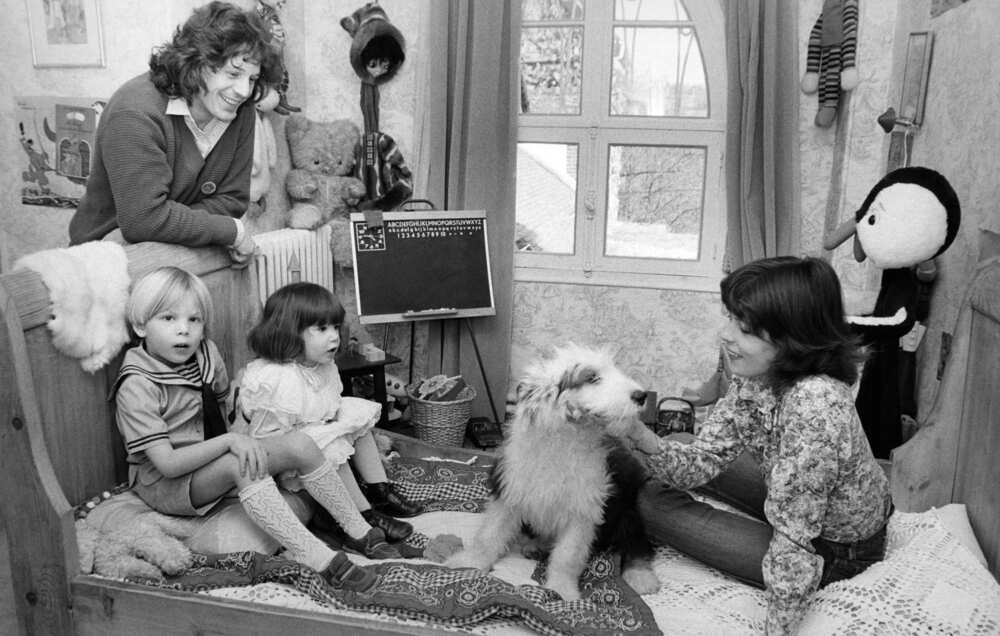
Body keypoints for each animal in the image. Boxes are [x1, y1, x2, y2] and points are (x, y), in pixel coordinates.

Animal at [450, 346, 660, 600]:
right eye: (592, 378)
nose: (641, 396)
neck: (564, 439)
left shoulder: (583, 509)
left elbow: (567, 556)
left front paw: (562, 590)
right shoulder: (511, 490)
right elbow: (489, 533)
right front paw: (468, 563)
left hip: (627, 510)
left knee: (636, 542)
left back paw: (641, 577)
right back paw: (535, 545)